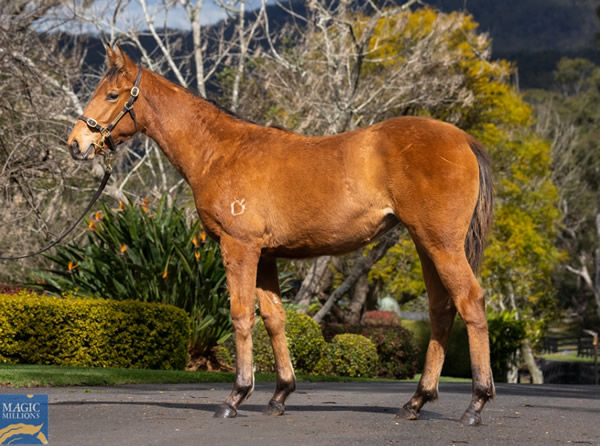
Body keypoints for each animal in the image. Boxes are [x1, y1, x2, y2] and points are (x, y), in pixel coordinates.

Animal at [68, 47, 494, 426]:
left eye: (111, 94)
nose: (76, 144)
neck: (219, 151)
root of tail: (463, 140)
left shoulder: (238, 248)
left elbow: (241, 315)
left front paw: (236, 395)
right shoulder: (267, 256)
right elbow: (274, 319)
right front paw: (280, 395)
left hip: (442, 244)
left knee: (470, 302)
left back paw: (476, 403)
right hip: (426, 245)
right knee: (442, 310)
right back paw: (416, 401)